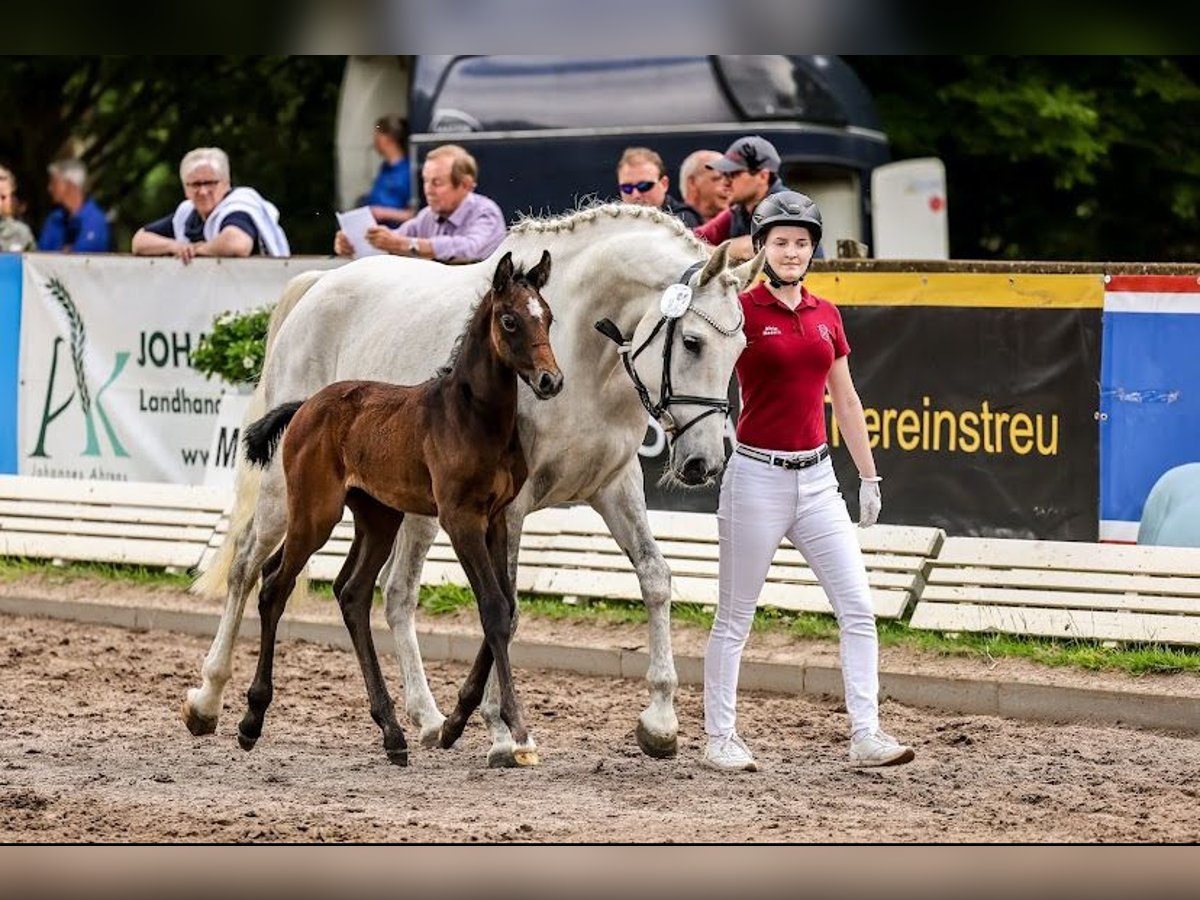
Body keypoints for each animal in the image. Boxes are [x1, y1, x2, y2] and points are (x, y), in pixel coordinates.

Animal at [241, 252, 564, 768]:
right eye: (510, 320)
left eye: (548, 317)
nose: (551, 380)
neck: (472, 418)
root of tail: (306, 405)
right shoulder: (460, 519)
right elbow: (493, 608)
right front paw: (517, 731)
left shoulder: (495, 518)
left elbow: (508, 609)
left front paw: (456, 724)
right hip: (315, 511)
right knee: (274, 584)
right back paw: (251, 720)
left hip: (378, 517)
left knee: (351, 592)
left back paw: (392, 733)